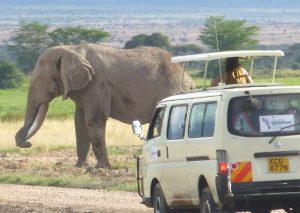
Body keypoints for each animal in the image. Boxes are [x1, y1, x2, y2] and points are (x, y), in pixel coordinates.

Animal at [15, 43, 193, 168]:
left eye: (42, 78)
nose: (28, 144)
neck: (70, 49)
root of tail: (190, 81)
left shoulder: (97, 84)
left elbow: (94, 120)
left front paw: (101, 168)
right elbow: (80, 122)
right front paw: (80, 167)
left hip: (170, 90)